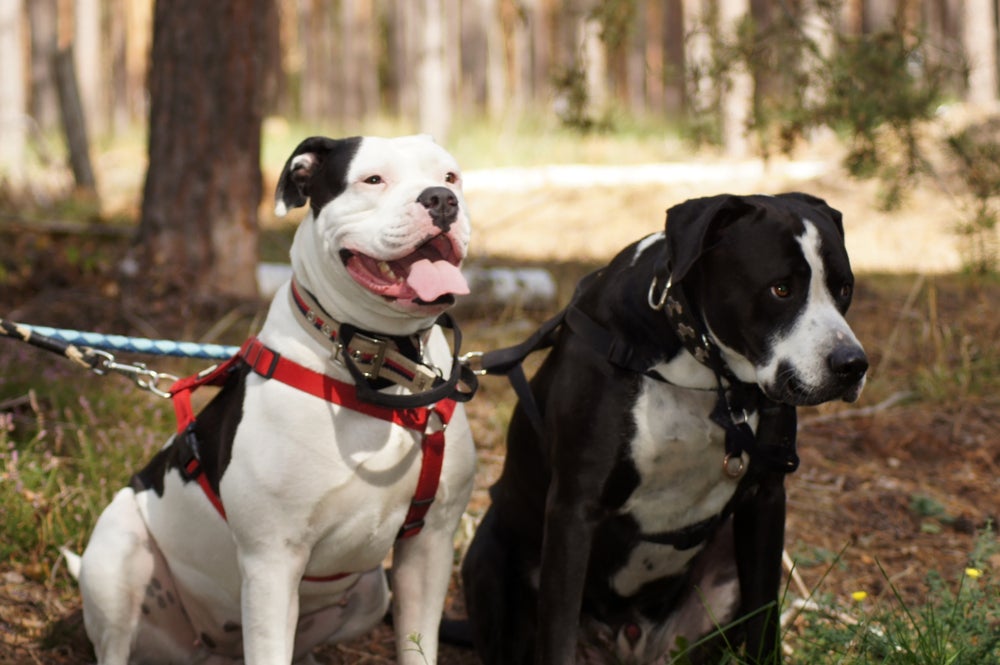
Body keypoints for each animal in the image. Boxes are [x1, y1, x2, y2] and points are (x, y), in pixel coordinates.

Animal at [70, 132, 476, 660]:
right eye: (373, 179)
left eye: (451, 176)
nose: (441, 199)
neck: (380, 365)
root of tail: (211, 644)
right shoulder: (271, 562)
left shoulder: (429, 546)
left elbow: (418, 645)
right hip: (120, 555)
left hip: (372, 593)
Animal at [460, 192, 868, 664]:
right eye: (780, 289)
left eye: (844, 289)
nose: (852, 365)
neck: (703, 373)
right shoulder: (574, 509)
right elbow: (557, 636)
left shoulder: (766, 497)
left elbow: (764, 621)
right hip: (488, 556)